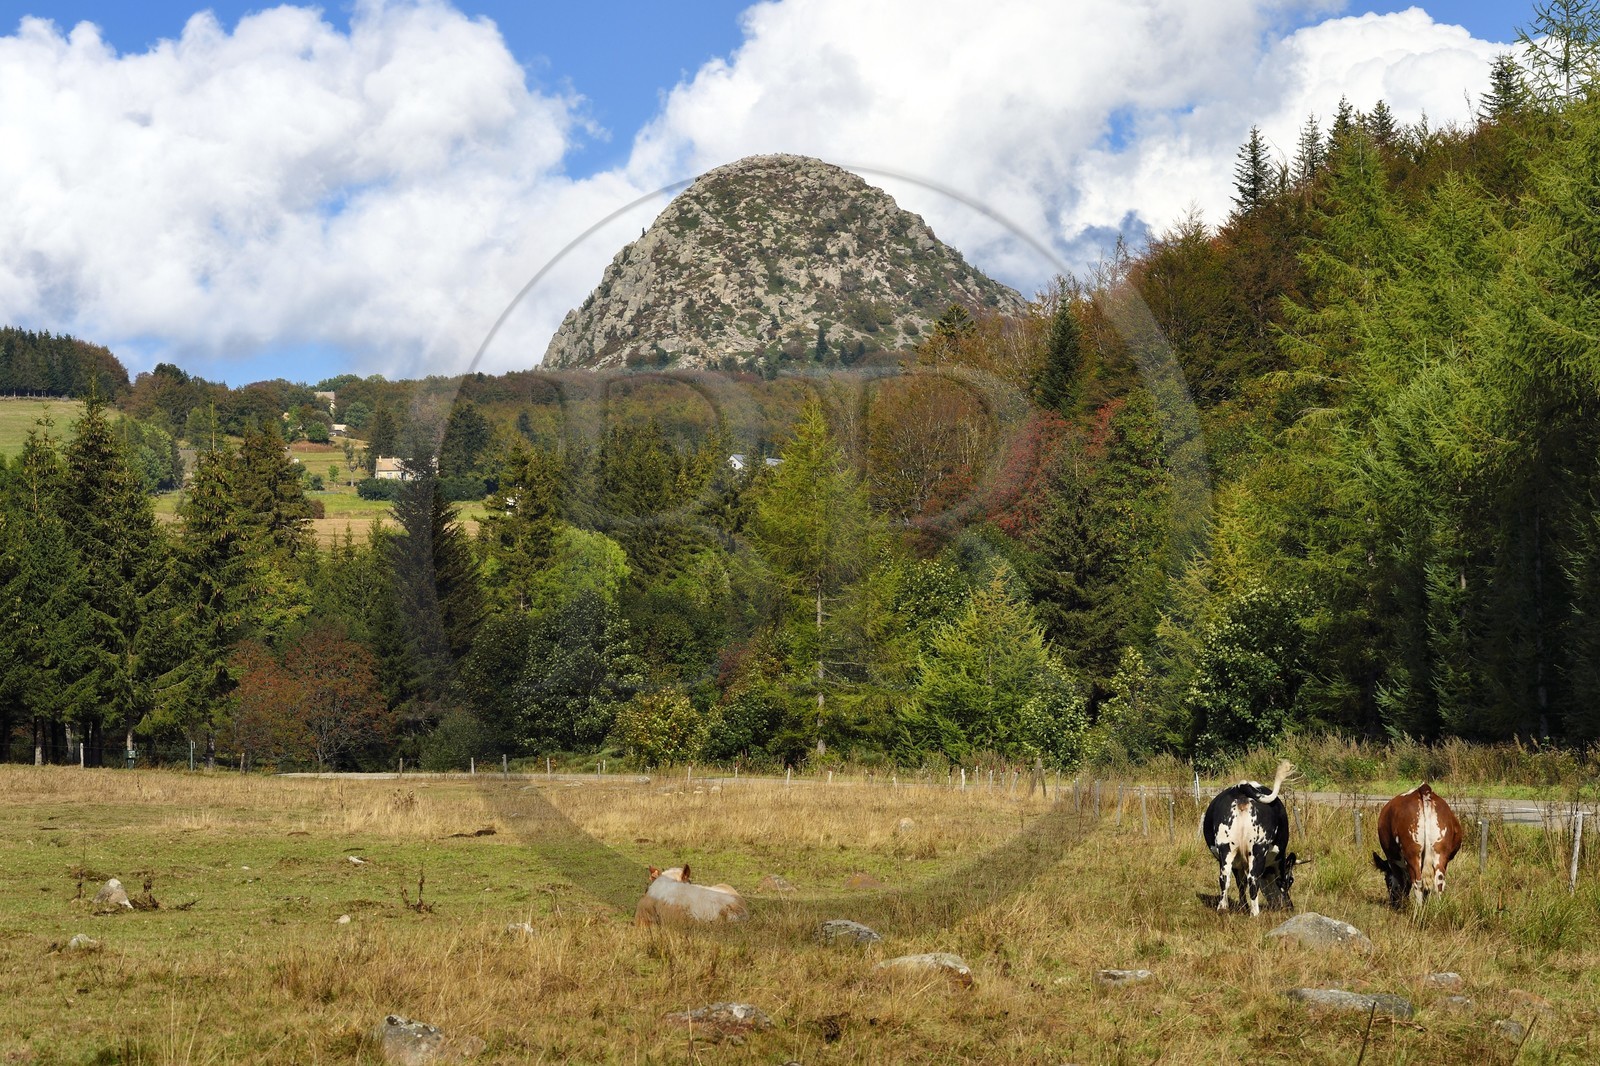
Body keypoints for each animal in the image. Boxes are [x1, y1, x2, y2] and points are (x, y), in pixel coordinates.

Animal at [1202, 760, 1299, 916]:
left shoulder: (1237, 863)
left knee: (1224, 878)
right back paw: (1255, 914)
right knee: (1253, 879)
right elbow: (1279, 882)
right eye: (1291, 880)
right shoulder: (1279, 860)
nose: (1290, 907)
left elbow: (1240, 883)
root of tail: (1241, 787)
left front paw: (1243, 907)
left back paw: (1223, 909)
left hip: (1226, 848)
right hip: (1258, 848)